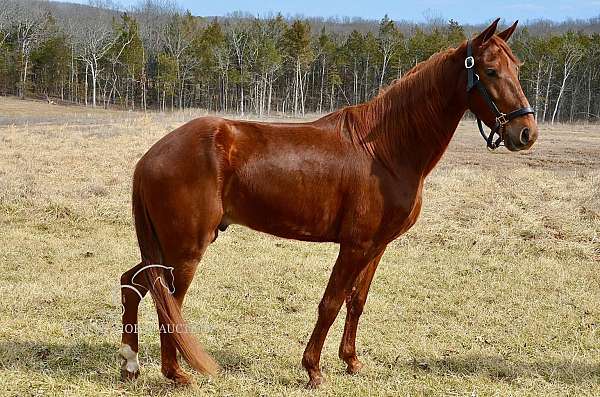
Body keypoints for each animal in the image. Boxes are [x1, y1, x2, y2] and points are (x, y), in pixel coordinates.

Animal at [118, 19, 540, 386]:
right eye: (489, 71)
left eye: (517, 68)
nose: (526, 132)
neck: (384, 149)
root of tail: (151, 155)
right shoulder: (354, 245)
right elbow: (331, 302)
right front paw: (313, 369)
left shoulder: (376, 247)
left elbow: (356, 302)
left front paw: (351, 361)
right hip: (186, 248)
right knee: (169, 302)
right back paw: (175, 373)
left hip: (166, 245)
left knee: (133, 283)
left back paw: (131, 363)